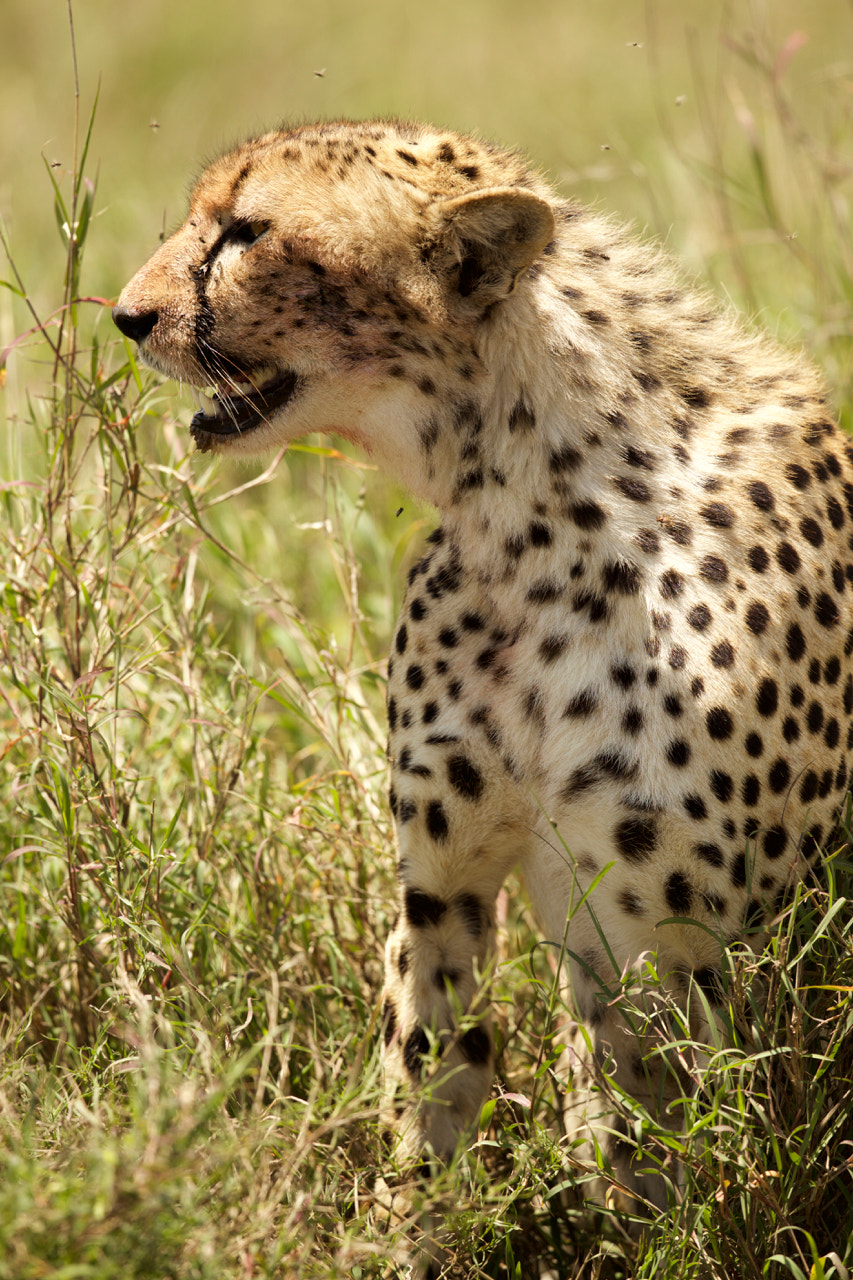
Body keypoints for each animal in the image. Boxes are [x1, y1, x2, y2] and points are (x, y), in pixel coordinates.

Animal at [114, 117, 853, 1253]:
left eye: (246, 231)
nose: (126, 316)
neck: (528, 503)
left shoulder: (707, 932)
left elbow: (715, 1147)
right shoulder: (443, 875)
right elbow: (432, 1057)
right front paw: (402, 1230)